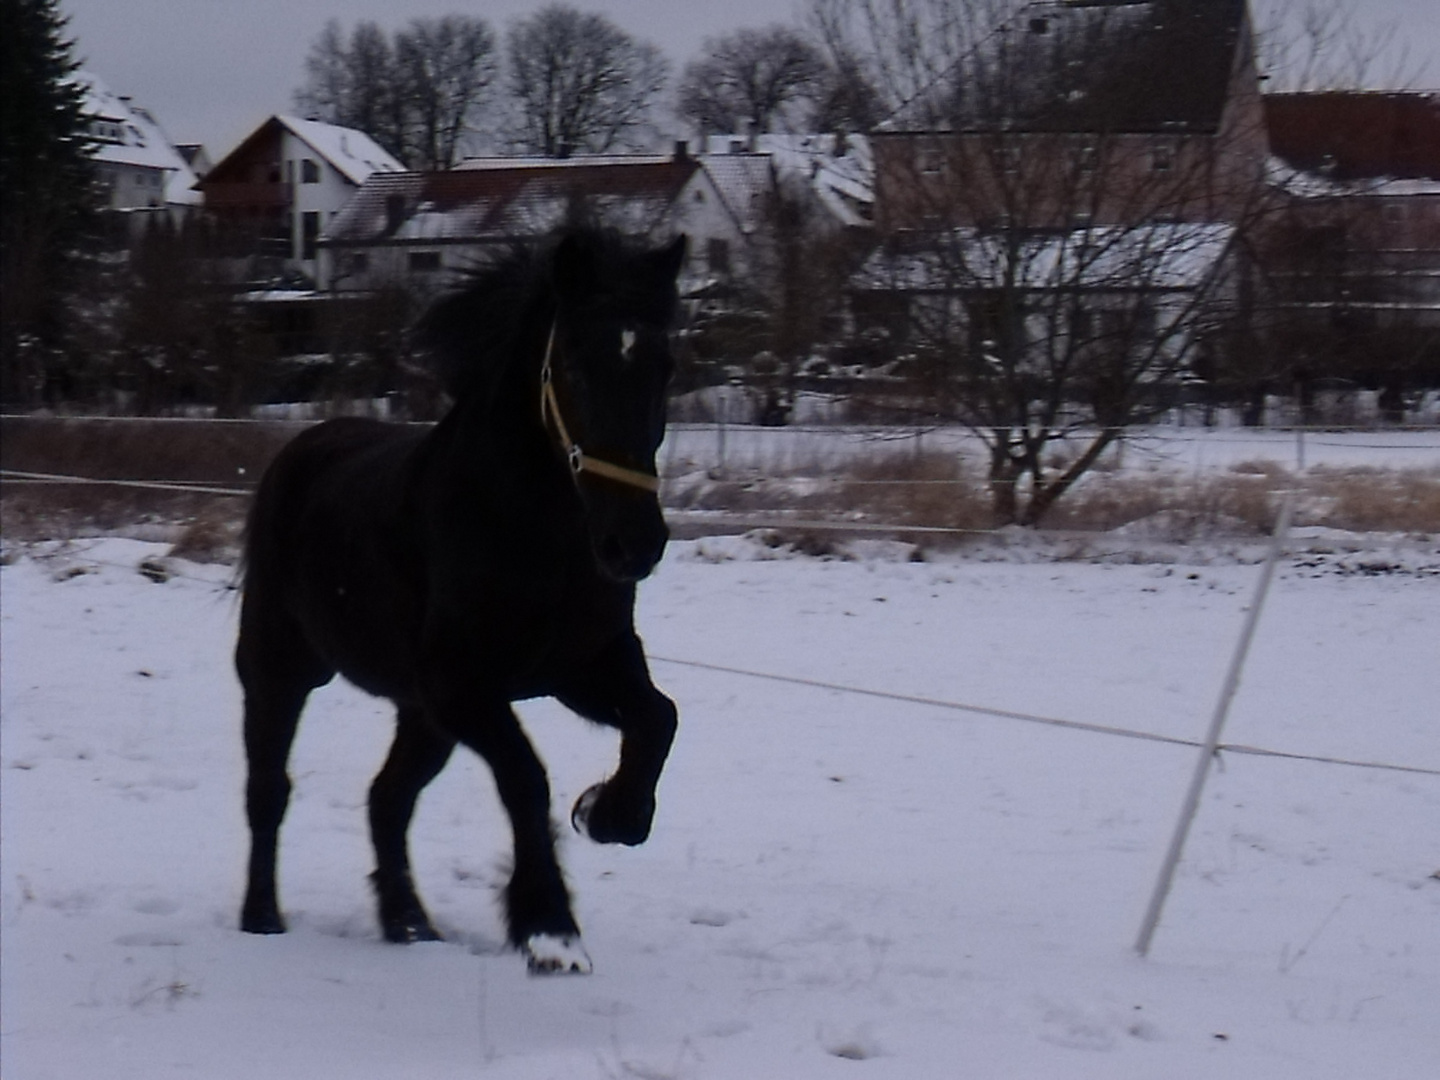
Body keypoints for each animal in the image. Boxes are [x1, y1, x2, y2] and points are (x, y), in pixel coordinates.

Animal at [234, 226, 685, 973]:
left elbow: (659, 718)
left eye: (664, 368)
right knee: (270, 792)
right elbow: (526, 778)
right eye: (574, 365)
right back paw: (262, 920)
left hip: (419, 715)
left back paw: (410, 926)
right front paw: (550, 929)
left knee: (386, 799)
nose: (635, 546)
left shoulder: (584, 666)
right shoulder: (463, 686)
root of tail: (304, 445)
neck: (538, 534)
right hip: (279, 670)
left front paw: (608, 815)